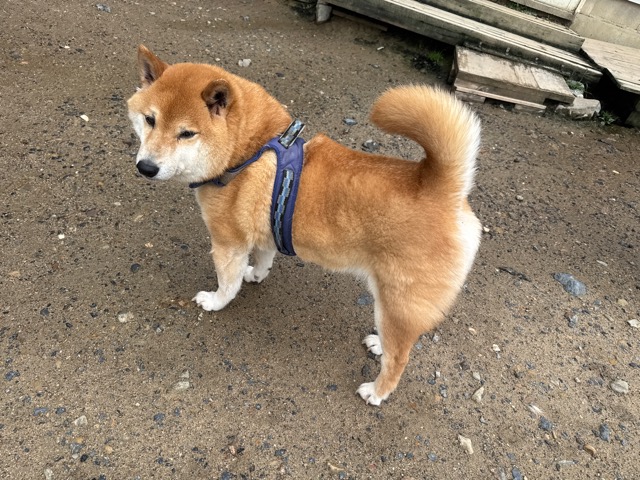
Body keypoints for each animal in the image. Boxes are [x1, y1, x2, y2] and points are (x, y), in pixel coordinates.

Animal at [127, 45, 482, 405]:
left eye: (187, 133)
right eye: (150, 120)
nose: (146, 167)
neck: (248, 151)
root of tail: (443, 188)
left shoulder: (228, 244)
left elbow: (228, 285)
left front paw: (215, 301)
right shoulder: (265, 231)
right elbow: (263, 260)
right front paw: (256, 275)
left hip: (398, 302)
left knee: (400, 358)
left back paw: (376, 391)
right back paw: (378, 344)